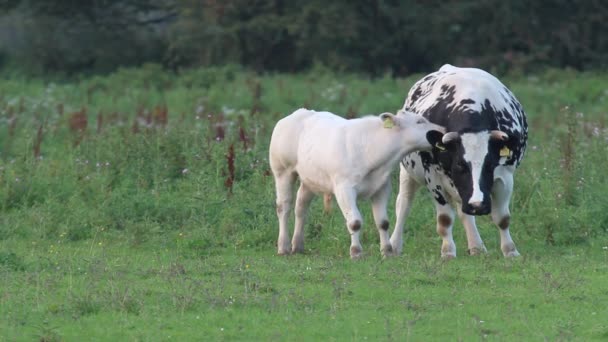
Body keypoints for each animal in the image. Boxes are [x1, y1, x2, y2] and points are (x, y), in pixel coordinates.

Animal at [270, 108, 446, 258]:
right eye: (419, 121)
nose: (443, 130)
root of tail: (298, 113)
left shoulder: (382, 187)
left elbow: (383, 222)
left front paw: (387, 251)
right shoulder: (344, 188)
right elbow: (354, 222)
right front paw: (356, 252)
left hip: (310, 179)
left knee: (301, 207)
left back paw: (298, 245)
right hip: (282, 171)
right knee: (284, 207)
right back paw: (283, 247)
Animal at [390, 64, 528, 258]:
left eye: (489, 165)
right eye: (459, 165)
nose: (477, 205)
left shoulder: (505, 175)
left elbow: (502, 218)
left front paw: (510, 251)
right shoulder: (433, 177)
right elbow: (445, 220)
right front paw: (448, 252)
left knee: (464, 212)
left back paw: (476, 246)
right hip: (408, 172)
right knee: (403, 204)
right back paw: (393, 246)